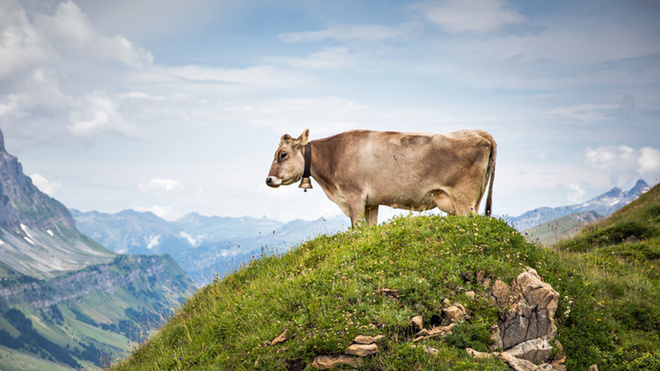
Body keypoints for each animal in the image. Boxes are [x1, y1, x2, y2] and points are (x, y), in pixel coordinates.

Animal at [264, 129, 496, 228]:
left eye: (282, 154)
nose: (268, 180)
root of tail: (480, 133)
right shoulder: (371, 203)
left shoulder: (354, 196)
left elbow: (356, 229)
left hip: (465, 200)